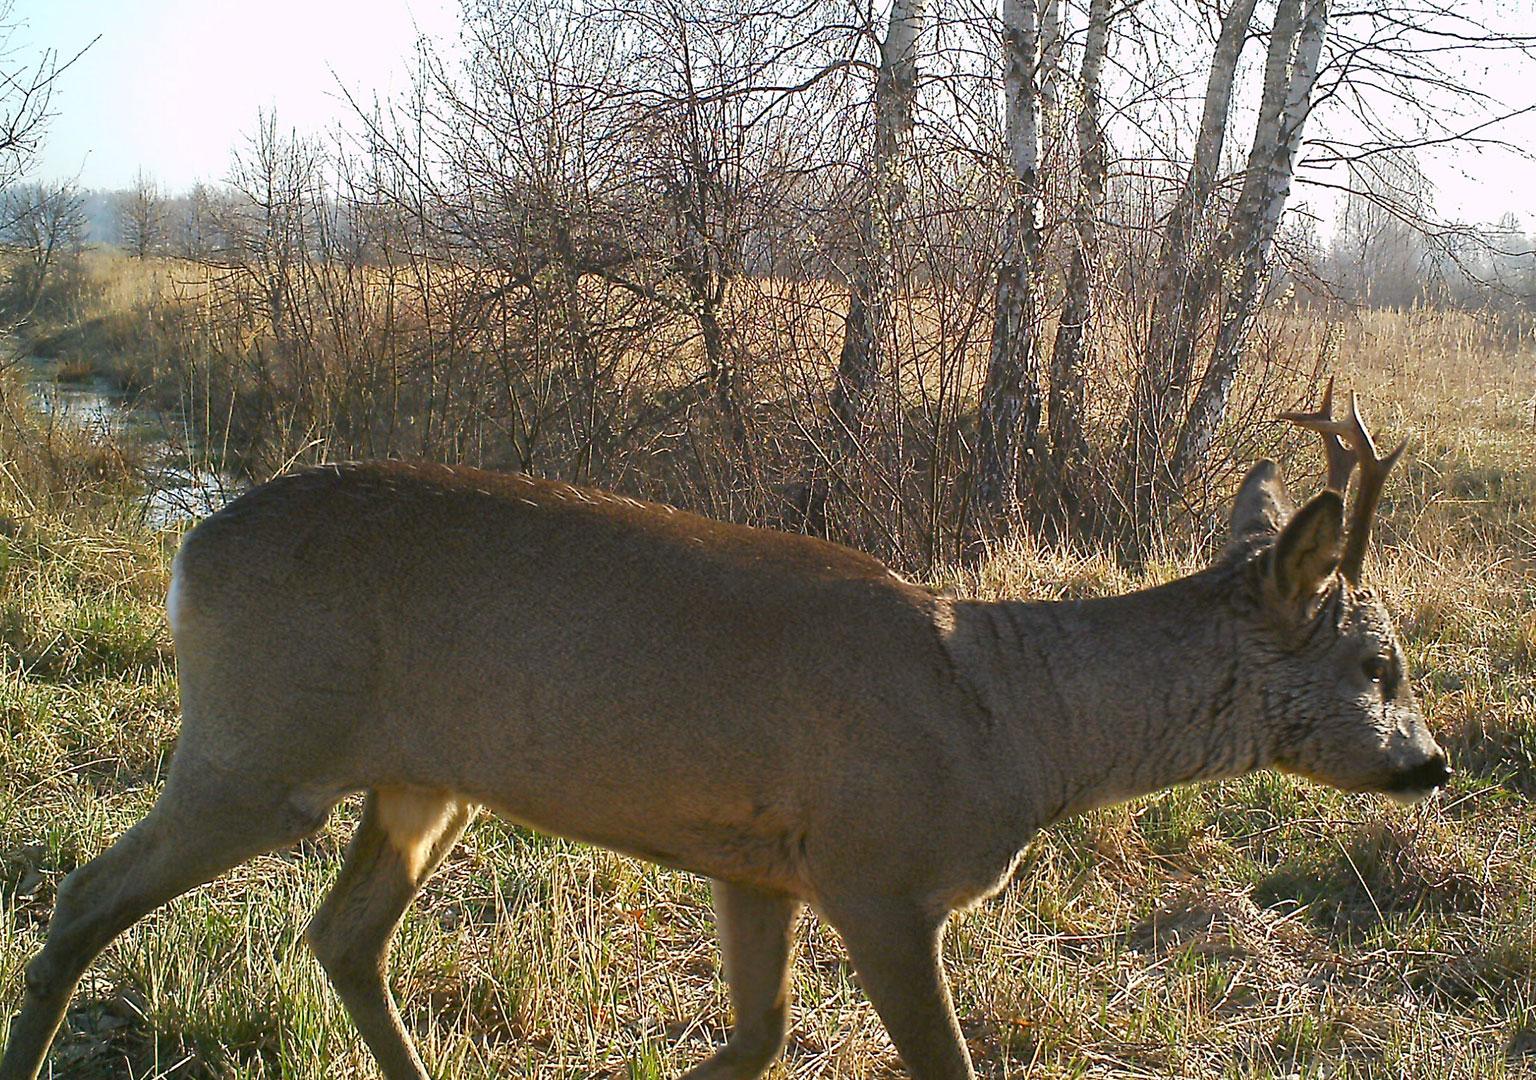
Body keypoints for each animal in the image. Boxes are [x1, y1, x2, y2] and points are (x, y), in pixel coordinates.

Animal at [0, 390, 1443, 1080]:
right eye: (1380, 664)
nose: (1428, 764)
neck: (1016, 720)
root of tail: (188, 548)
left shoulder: (760, 863)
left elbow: (756, 1041)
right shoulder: (876, 870)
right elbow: (936, 1065)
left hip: (421, 782)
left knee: (343, 936)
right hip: (259, 740)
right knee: (85, 894)